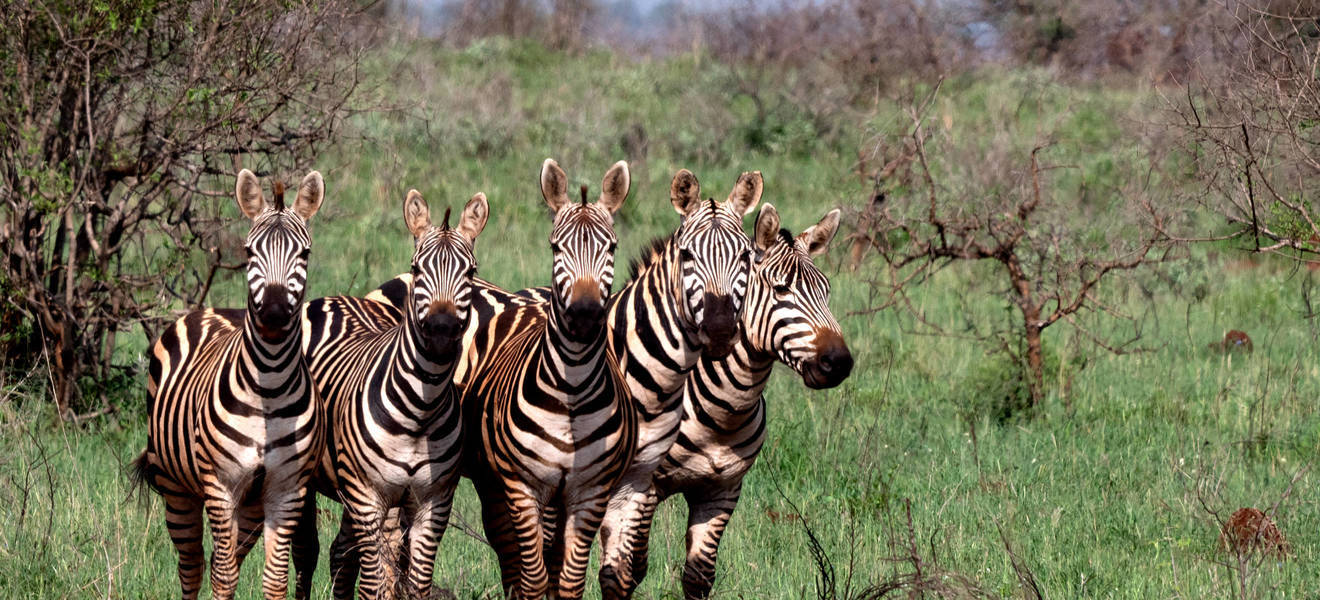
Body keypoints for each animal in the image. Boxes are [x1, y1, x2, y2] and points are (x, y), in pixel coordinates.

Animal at [131, 170, 325, 600]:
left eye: (304, 254)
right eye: (250, 253)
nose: (273, 314)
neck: (269, 387)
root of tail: (209, 310)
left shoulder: (286, 492)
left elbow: (274, 580)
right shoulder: (221, 486)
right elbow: (222, 576)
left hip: (250, 505)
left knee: (230, 557)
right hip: (177, 488)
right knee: (194, 567)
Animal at [300, 190, 488, 599]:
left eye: (470, 272)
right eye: (416, 269)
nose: (441, 331)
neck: (420, 410)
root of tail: (335, 298)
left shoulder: (433, 502)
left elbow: (415, 584)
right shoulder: (371, 496)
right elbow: (376, 585)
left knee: (340, 553)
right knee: (306, 549)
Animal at [461, 159, 636, 599]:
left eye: (611, 248)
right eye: (556, 247)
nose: (585, 315)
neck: (571, 389)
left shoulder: (590, 492)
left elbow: (569, 580)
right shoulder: (523, 487)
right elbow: (534, 576)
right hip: (495, 483)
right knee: (511, 554)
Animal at [627, 204, 853, 599]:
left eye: (826, 290)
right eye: (781, 289)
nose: (839, 362)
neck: (721, 414)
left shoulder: (723, 489)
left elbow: (699, 576)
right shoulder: (644, 488)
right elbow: (630, 568)